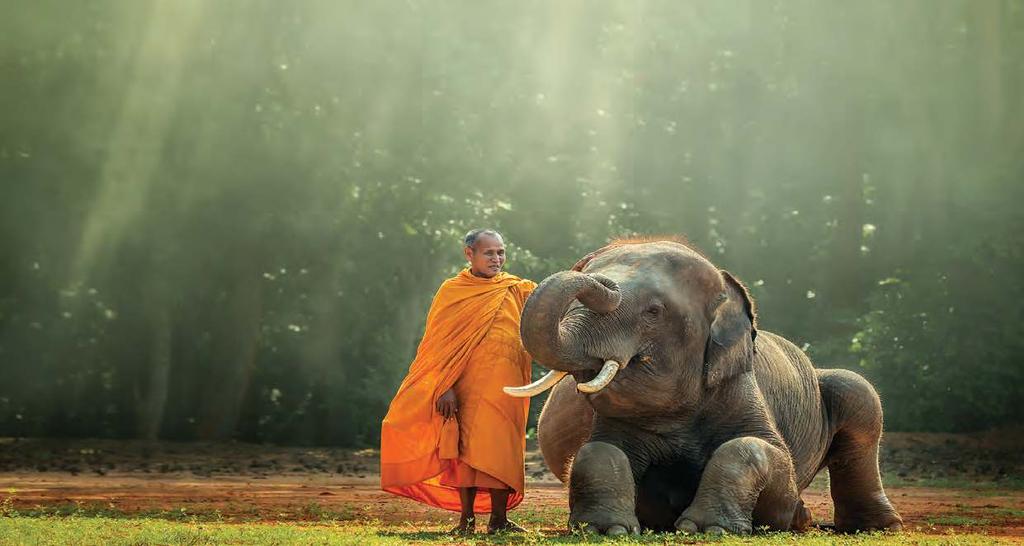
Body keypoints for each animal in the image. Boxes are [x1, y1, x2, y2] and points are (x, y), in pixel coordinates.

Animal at [505, 239, 905, 536]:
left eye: (653, 311)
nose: (592, 276)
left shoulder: (741, 390)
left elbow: (763, 453)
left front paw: (708, 529)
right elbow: (597, 451)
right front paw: (606, 530)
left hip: (849, 396)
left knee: (858, 396)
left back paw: (870, 527)